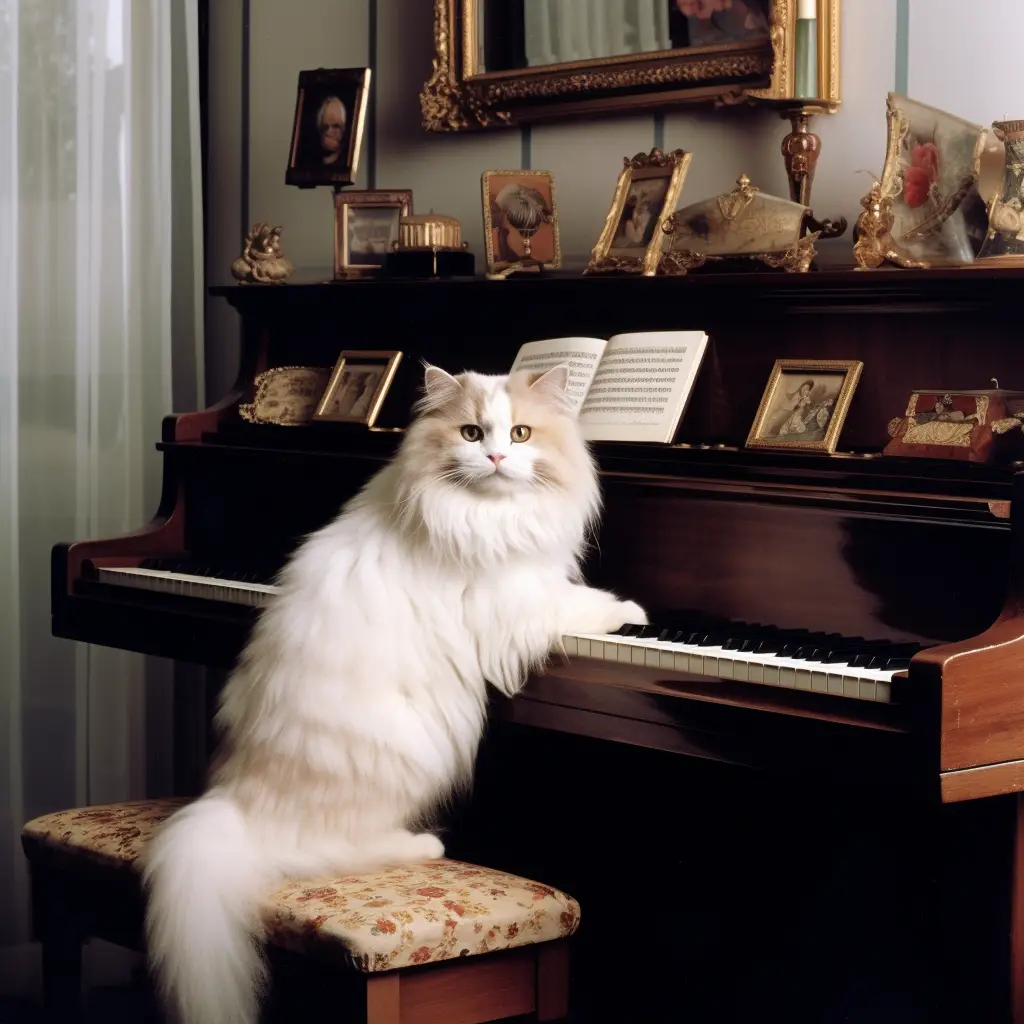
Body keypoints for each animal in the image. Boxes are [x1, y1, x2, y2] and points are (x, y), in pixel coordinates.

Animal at [142, 364, 647, 1019]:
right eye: (471, 432)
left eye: (521, 433)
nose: (496, 456)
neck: (486, 515)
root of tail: (237, 805)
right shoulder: (519, 602)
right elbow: (581, 606)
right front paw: (633, 614)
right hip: (411, 759)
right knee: (337, 849)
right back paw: (424, 847)